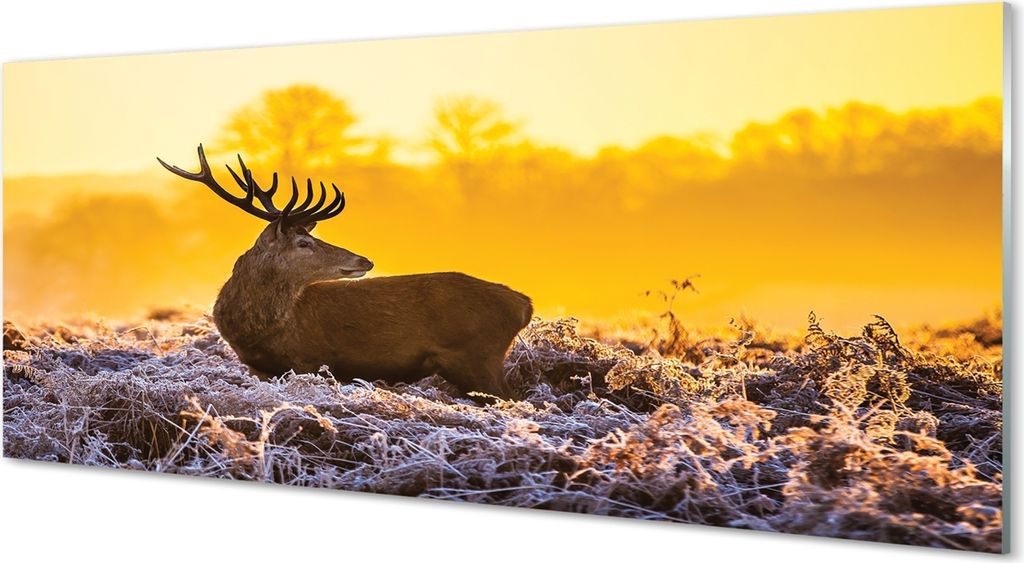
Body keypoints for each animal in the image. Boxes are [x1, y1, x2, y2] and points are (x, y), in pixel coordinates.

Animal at [157, 145, 532, 399]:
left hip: (479, 357)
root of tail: (523, 305)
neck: (256, 329)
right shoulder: (260, 368)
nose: (365, 260)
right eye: (304, 243)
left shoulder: (311, 361)